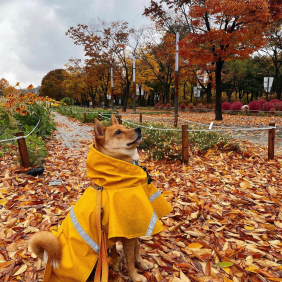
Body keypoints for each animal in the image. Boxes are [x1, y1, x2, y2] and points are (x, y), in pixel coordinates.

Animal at [30, 114, 172, 282]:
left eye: (125, 127)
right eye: (118, 132)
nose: (138, 128)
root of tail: (51, 259)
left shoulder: (135, 228)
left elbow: (137, 250)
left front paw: (142, 264)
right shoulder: (128, 233)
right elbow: (130, 259)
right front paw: (135, 276)